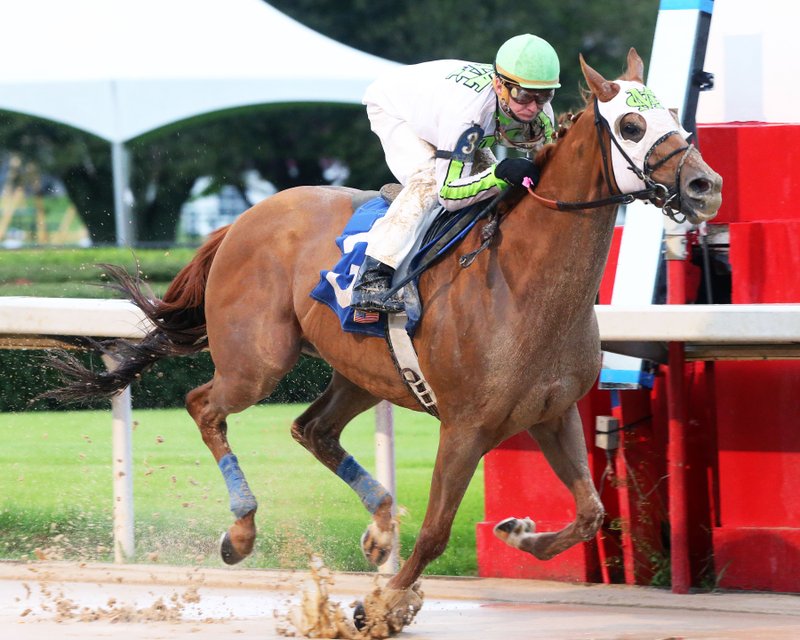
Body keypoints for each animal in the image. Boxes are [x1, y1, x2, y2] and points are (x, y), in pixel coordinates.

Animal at [47, 47, 720, 632]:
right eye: (631, 124)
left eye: (675, 114)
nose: (704, 186)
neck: (525, 280)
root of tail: (239, 222)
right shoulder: (467, 425)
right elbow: (438, 532)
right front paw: (381, 605)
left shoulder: (554, 414)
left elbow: (589, 514)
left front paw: (515, 533)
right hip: (258, 361)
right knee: (204, 405)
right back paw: (242, 532)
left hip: (363, 373)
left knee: (311, 429)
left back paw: (378, 524)